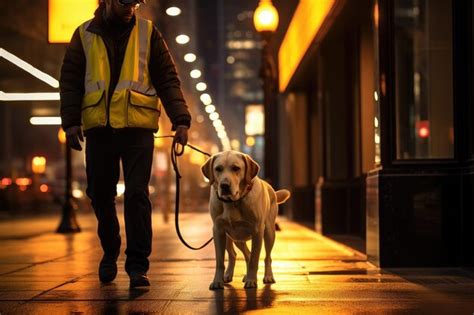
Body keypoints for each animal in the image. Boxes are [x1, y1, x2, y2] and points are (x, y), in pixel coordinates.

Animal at [199, 152, 288, 290]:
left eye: (236, 168)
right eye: (218, 169)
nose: (224, 185)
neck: (233, 202)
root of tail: (271, 188)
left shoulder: (257, 232)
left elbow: (255, 259)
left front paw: (251, 280)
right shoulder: (218, 231)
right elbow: (220, 261)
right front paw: (217, 281)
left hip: (269, 233)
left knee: (267, 257)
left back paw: (268, 276)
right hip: (234, 238)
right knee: (238, 254)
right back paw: (229, 275)